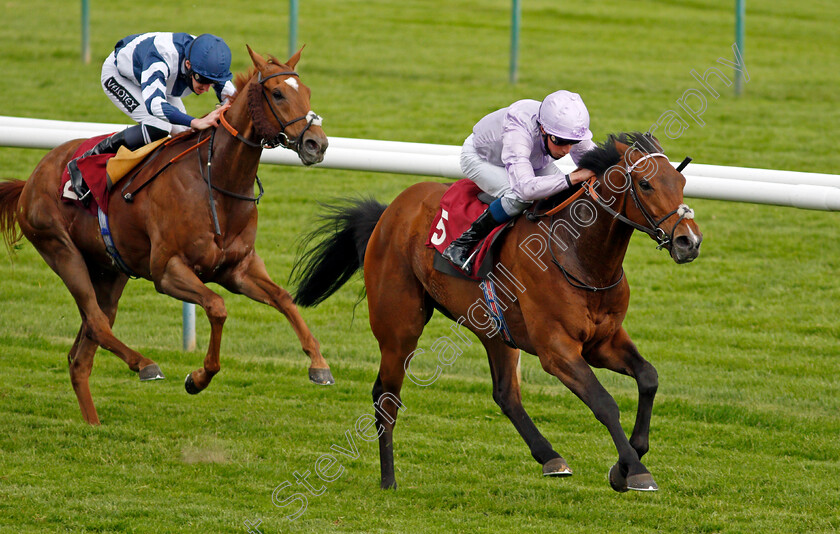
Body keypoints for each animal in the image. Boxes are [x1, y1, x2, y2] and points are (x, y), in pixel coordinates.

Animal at [0, 47, 334, 428]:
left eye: (306, 91)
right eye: (277, 94)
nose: (317, 144)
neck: (218, 182)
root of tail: (31, 179)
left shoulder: (238, 269)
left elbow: (284, 299)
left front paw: (319, 365)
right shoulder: (167, 271)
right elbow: (217, 307)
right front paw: (198, 378)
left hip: (110, 271)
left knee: (83, 352)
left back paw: (94, 423)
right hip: (60, 250)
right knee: (97, 323)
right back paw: (145, 364)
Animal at [294, 134, 704, 494]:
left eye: (682, 182)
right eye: (646, 185)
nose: (689, 241)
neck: (579, 256)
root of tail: (389, 211)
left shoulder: (602, 342)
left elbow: (648, 377)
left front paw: (629, 460)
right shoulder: (557, 350)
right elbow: (604, 402)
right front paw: (634, 470)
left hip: (495, 330)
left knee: (506, 393)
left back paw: (550, 457)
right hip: (399, 327)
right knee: (386, 397)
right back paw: (388, 479)